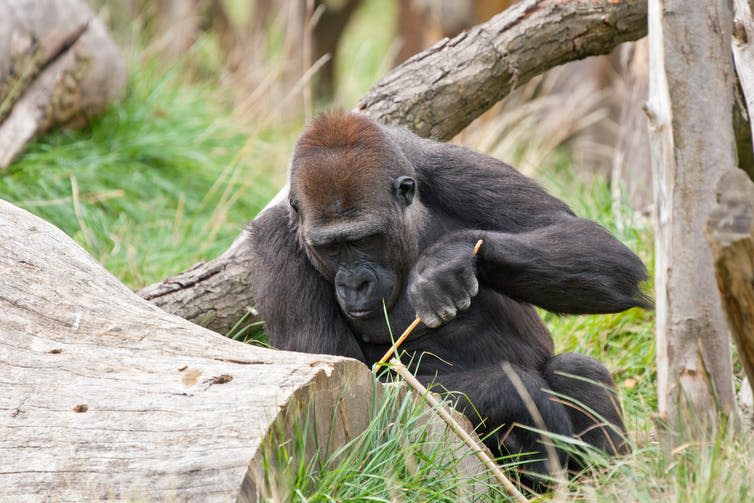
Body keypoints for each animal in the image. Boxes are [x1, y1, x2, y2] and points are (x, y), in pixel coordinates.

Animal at [250, 111, 648, 484]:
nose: (355, 283)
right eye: (330, 248)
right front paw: (519, 393)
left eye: (364, 239)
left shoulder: (451, 165)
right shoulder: (274, 240)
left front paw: (449, 259)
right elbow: (345, 377)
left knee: (577, 367)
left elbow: (591, 242)